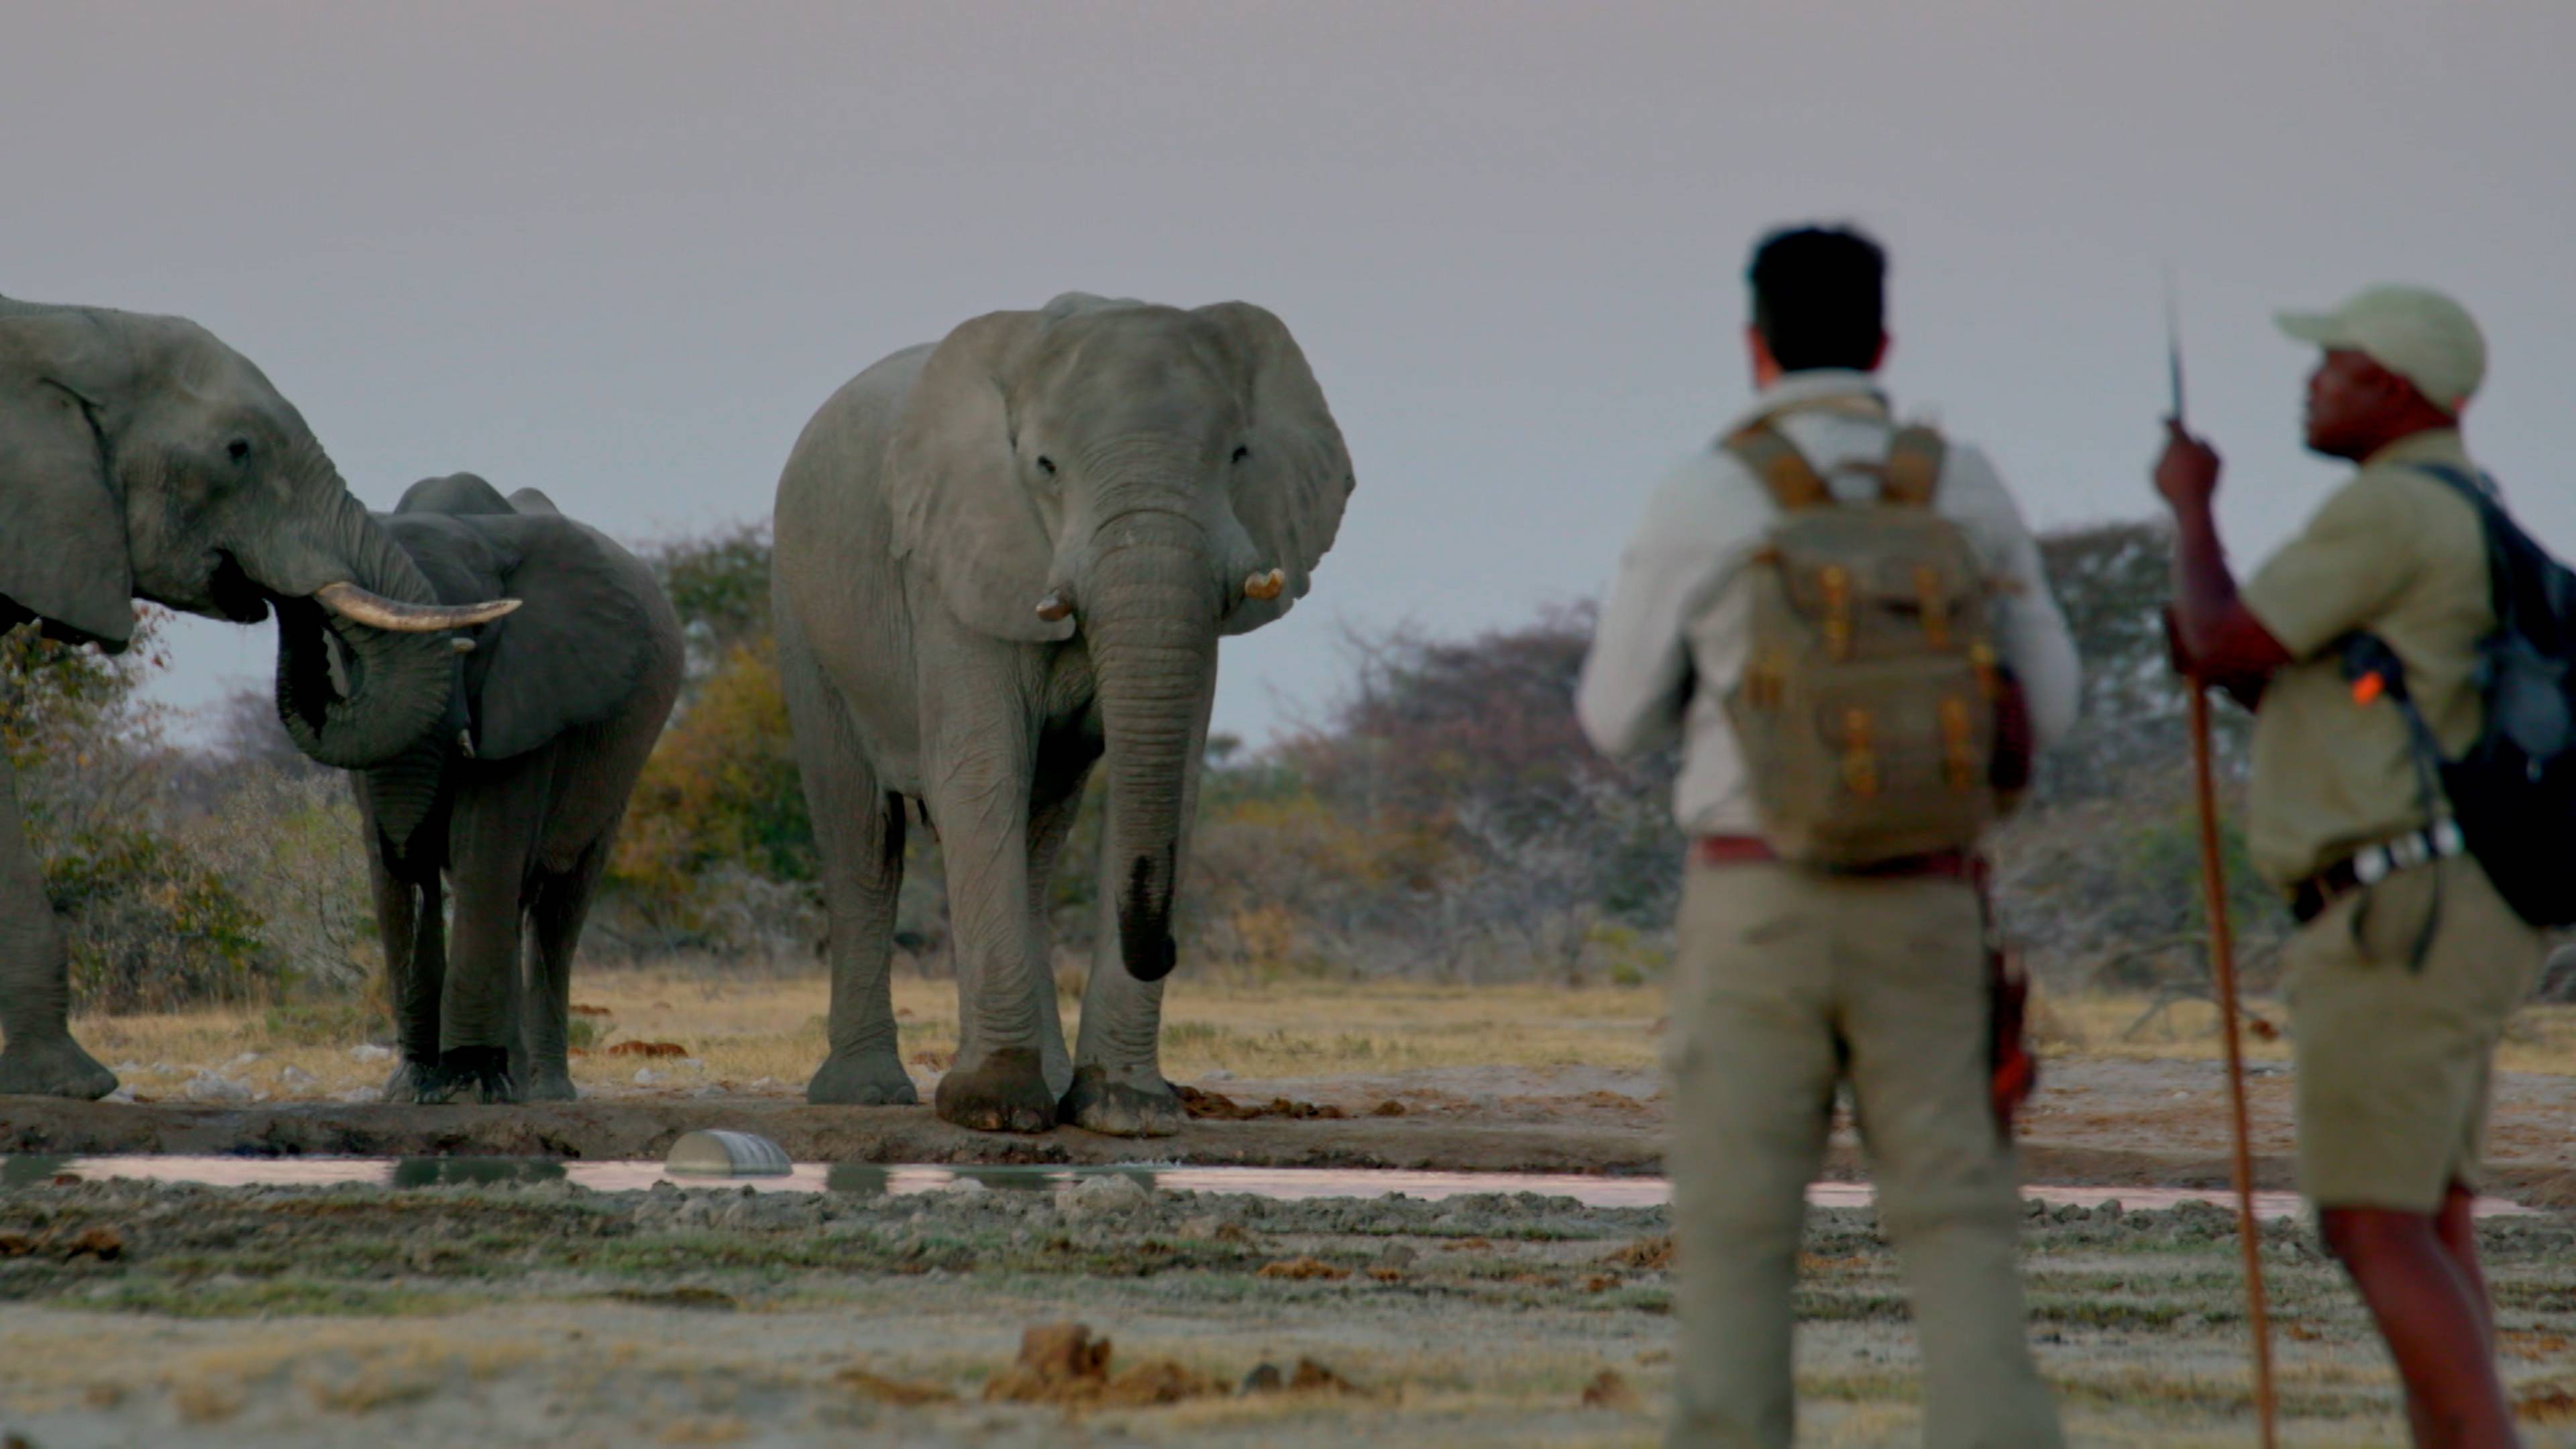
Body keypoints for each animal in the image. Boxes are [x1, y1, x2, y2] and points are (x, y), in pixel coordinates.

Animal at [356, 473, 683, 1103]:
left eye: (477, 635)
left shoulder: (536, 691)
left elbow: (484, 844)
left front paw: (465, 1085)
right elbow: (396, 876)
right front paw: (414, 1091)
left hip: (615, 770)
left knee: (556, 904)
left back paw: (543, 1090)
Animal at [772, 293, 1354, 1136]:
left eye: (1239, 456)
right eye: (1045, 468)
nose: (1169, 947)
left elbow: (1172, 783)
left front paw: (1126, 1110)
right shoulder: (956, 567)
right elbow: (982, 772)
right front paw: (996, 1111)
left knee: (1036, 843)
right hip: (802, 616)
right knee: (862, 840)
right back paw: (865, 1093)